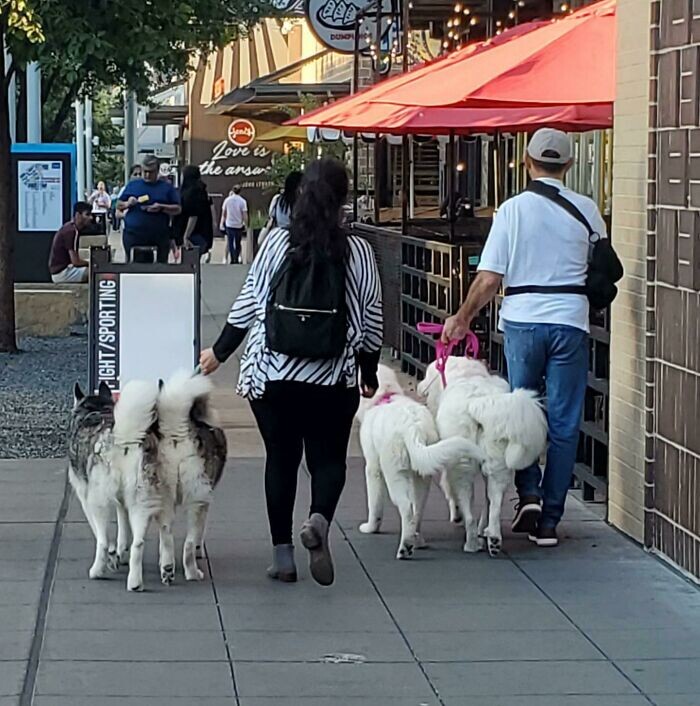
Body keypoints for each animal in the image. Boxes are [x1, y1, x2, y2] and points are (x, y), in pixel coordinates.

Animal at [358, 366, 484, 560]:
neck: (385, 396)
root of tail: (413, 428)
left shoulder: (373, 469)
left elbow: (375, 504)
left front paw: (370, 527)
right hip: (422, 474)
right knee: (416, 511)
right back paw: (416, 540)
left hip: (395, 474)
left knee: (406, 508)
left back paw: (405, 547)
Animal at [416, 358, 548, 556]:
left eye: (427, 375)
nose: (420, 386)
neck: (467, 374)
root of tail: (477, 403)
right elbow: (487, 502)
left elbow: (448, 487)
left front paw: (456, 514)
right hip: (498, 465)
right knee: (495, 505)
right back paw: (493, 539)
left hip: (462, 466)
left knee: (468, 509)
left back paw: (471, 543)